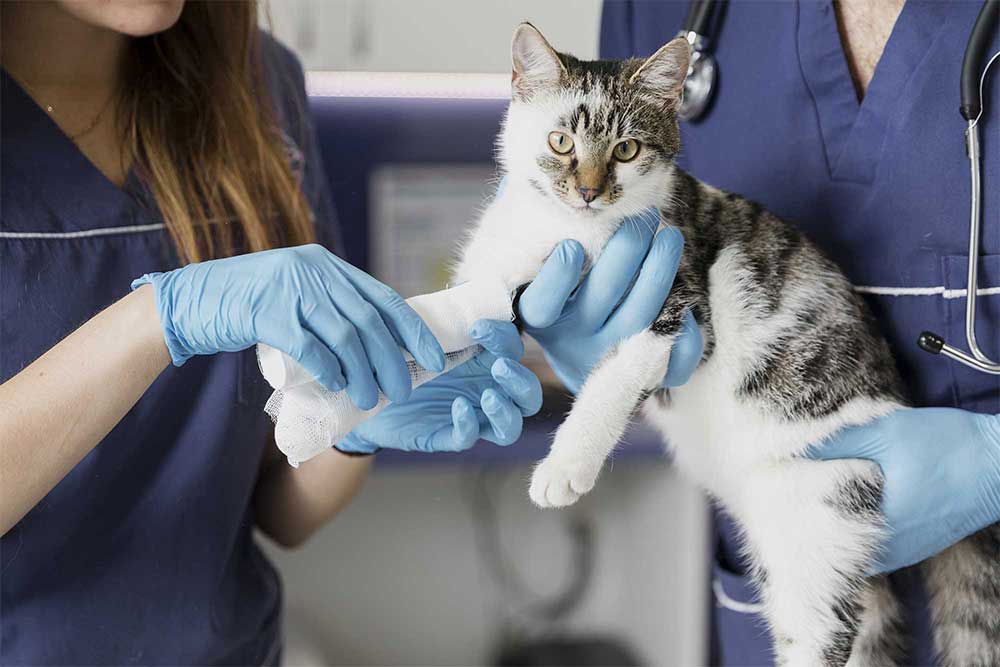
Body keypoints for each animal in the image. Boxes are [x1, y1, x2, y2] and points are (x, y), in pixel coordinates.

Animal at [454, 22, 1000, 667]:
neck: (571, 233)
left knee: (821, 630)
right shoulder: (501, 250)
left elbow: (613, 379)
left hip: (818, 508)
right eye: (561, 141)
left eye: (626, 151)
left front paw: (567, 463)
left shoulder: (679, 306)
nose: (588, 193)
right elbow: (462, 303)